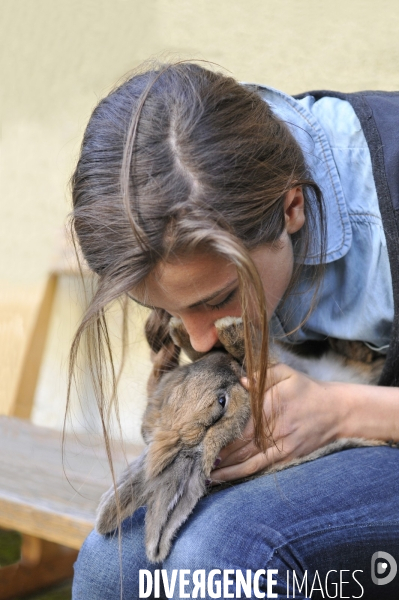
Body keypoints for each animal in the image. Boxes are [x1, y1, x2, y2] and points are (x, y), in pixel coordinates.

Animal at [97, 316, 388, 564]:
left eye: (182, 376)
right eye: (221, 402)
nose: (224, 361)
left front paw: (185, 331)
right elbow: (261, 353)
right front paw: (230, 328)